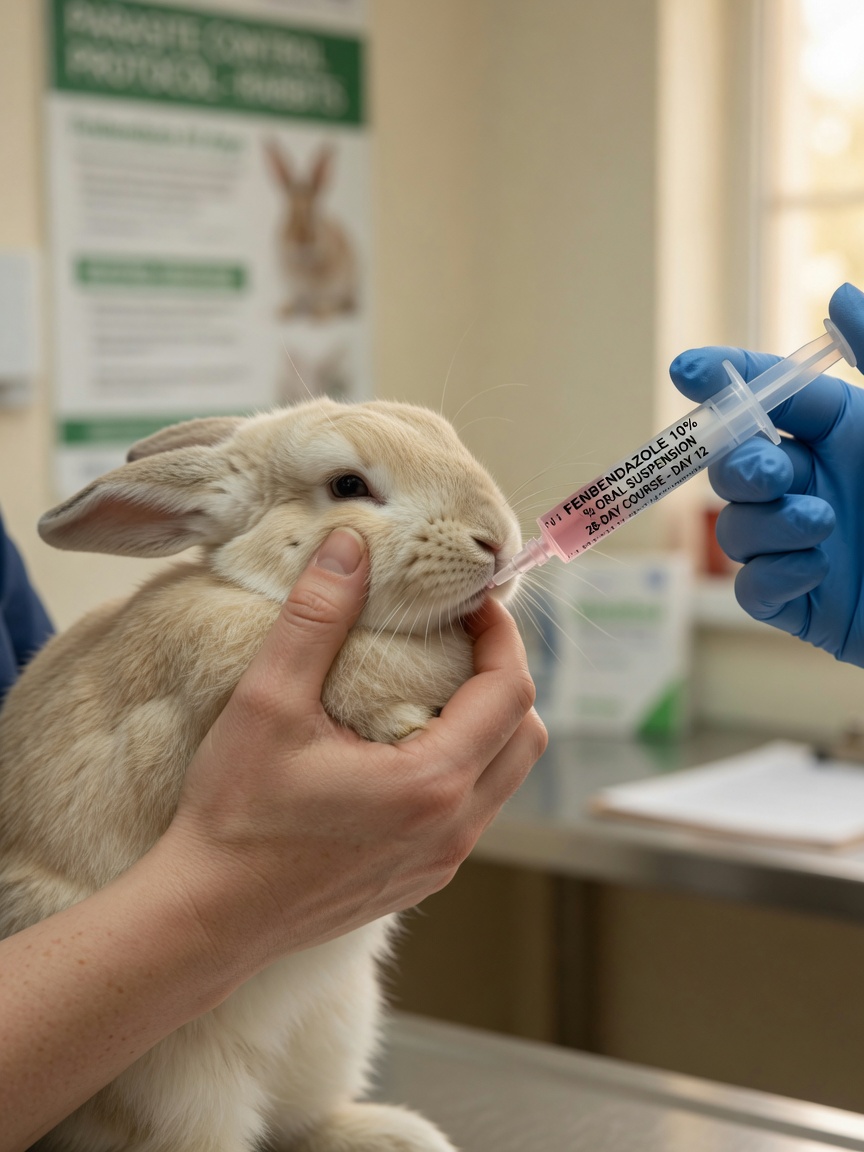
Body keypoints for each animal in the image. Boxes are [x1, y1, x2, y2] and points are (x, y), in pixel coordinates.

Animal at [0, 397, 523, 1152]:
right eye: (347, 486)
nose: (499, 542)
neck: (271, 598)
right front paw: (405, 721)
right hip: (174, 1091)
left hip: (335, 1029)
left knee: (300, 1121)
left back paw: (398, 1135)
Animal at [265, 141, 359, 320]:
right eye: (288, 214)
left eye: (312, 213)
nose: (300, 240)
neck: (303, 259)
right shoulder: (291, 286)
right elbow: (293, 299)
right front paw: (283, 312)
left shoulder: (330, 286)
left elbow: (325, 301)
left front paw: (320, 316)